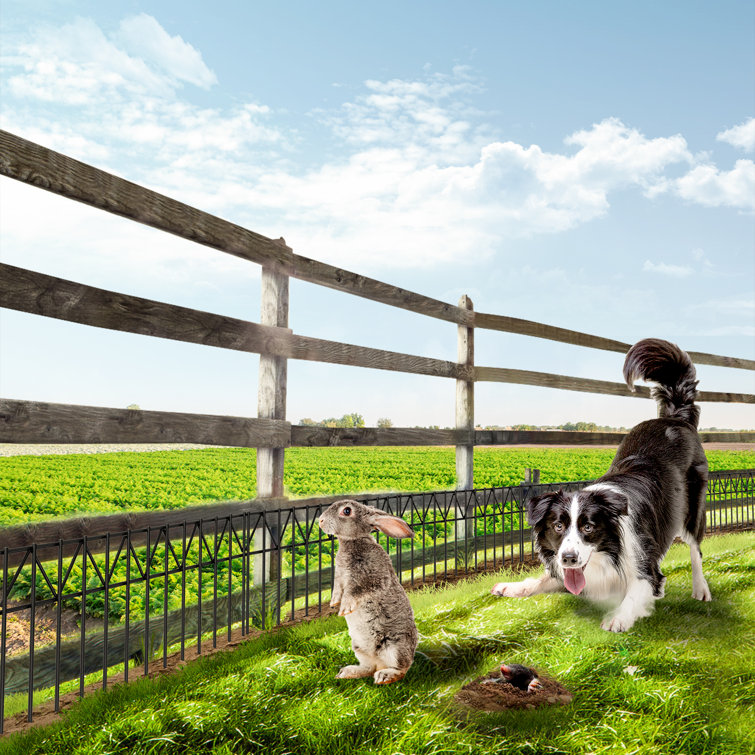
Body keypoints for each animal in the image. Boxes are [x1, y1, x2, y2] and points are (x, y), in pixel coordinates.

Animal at [318, 502, 420, 684]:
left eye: (347, 511)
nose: (320, 521)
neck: (353, 541)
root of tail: (380, 662)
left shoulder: (373, 578)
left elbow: (355, 591)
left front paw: (345, 608)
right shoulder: (339, 578)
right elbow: (337, 589)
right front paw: (334, 603)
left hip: (395, 646)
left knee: (401, 668)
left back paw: (385, 676)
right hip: (359, 647)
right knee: (368, 667)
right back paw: (347, 672)